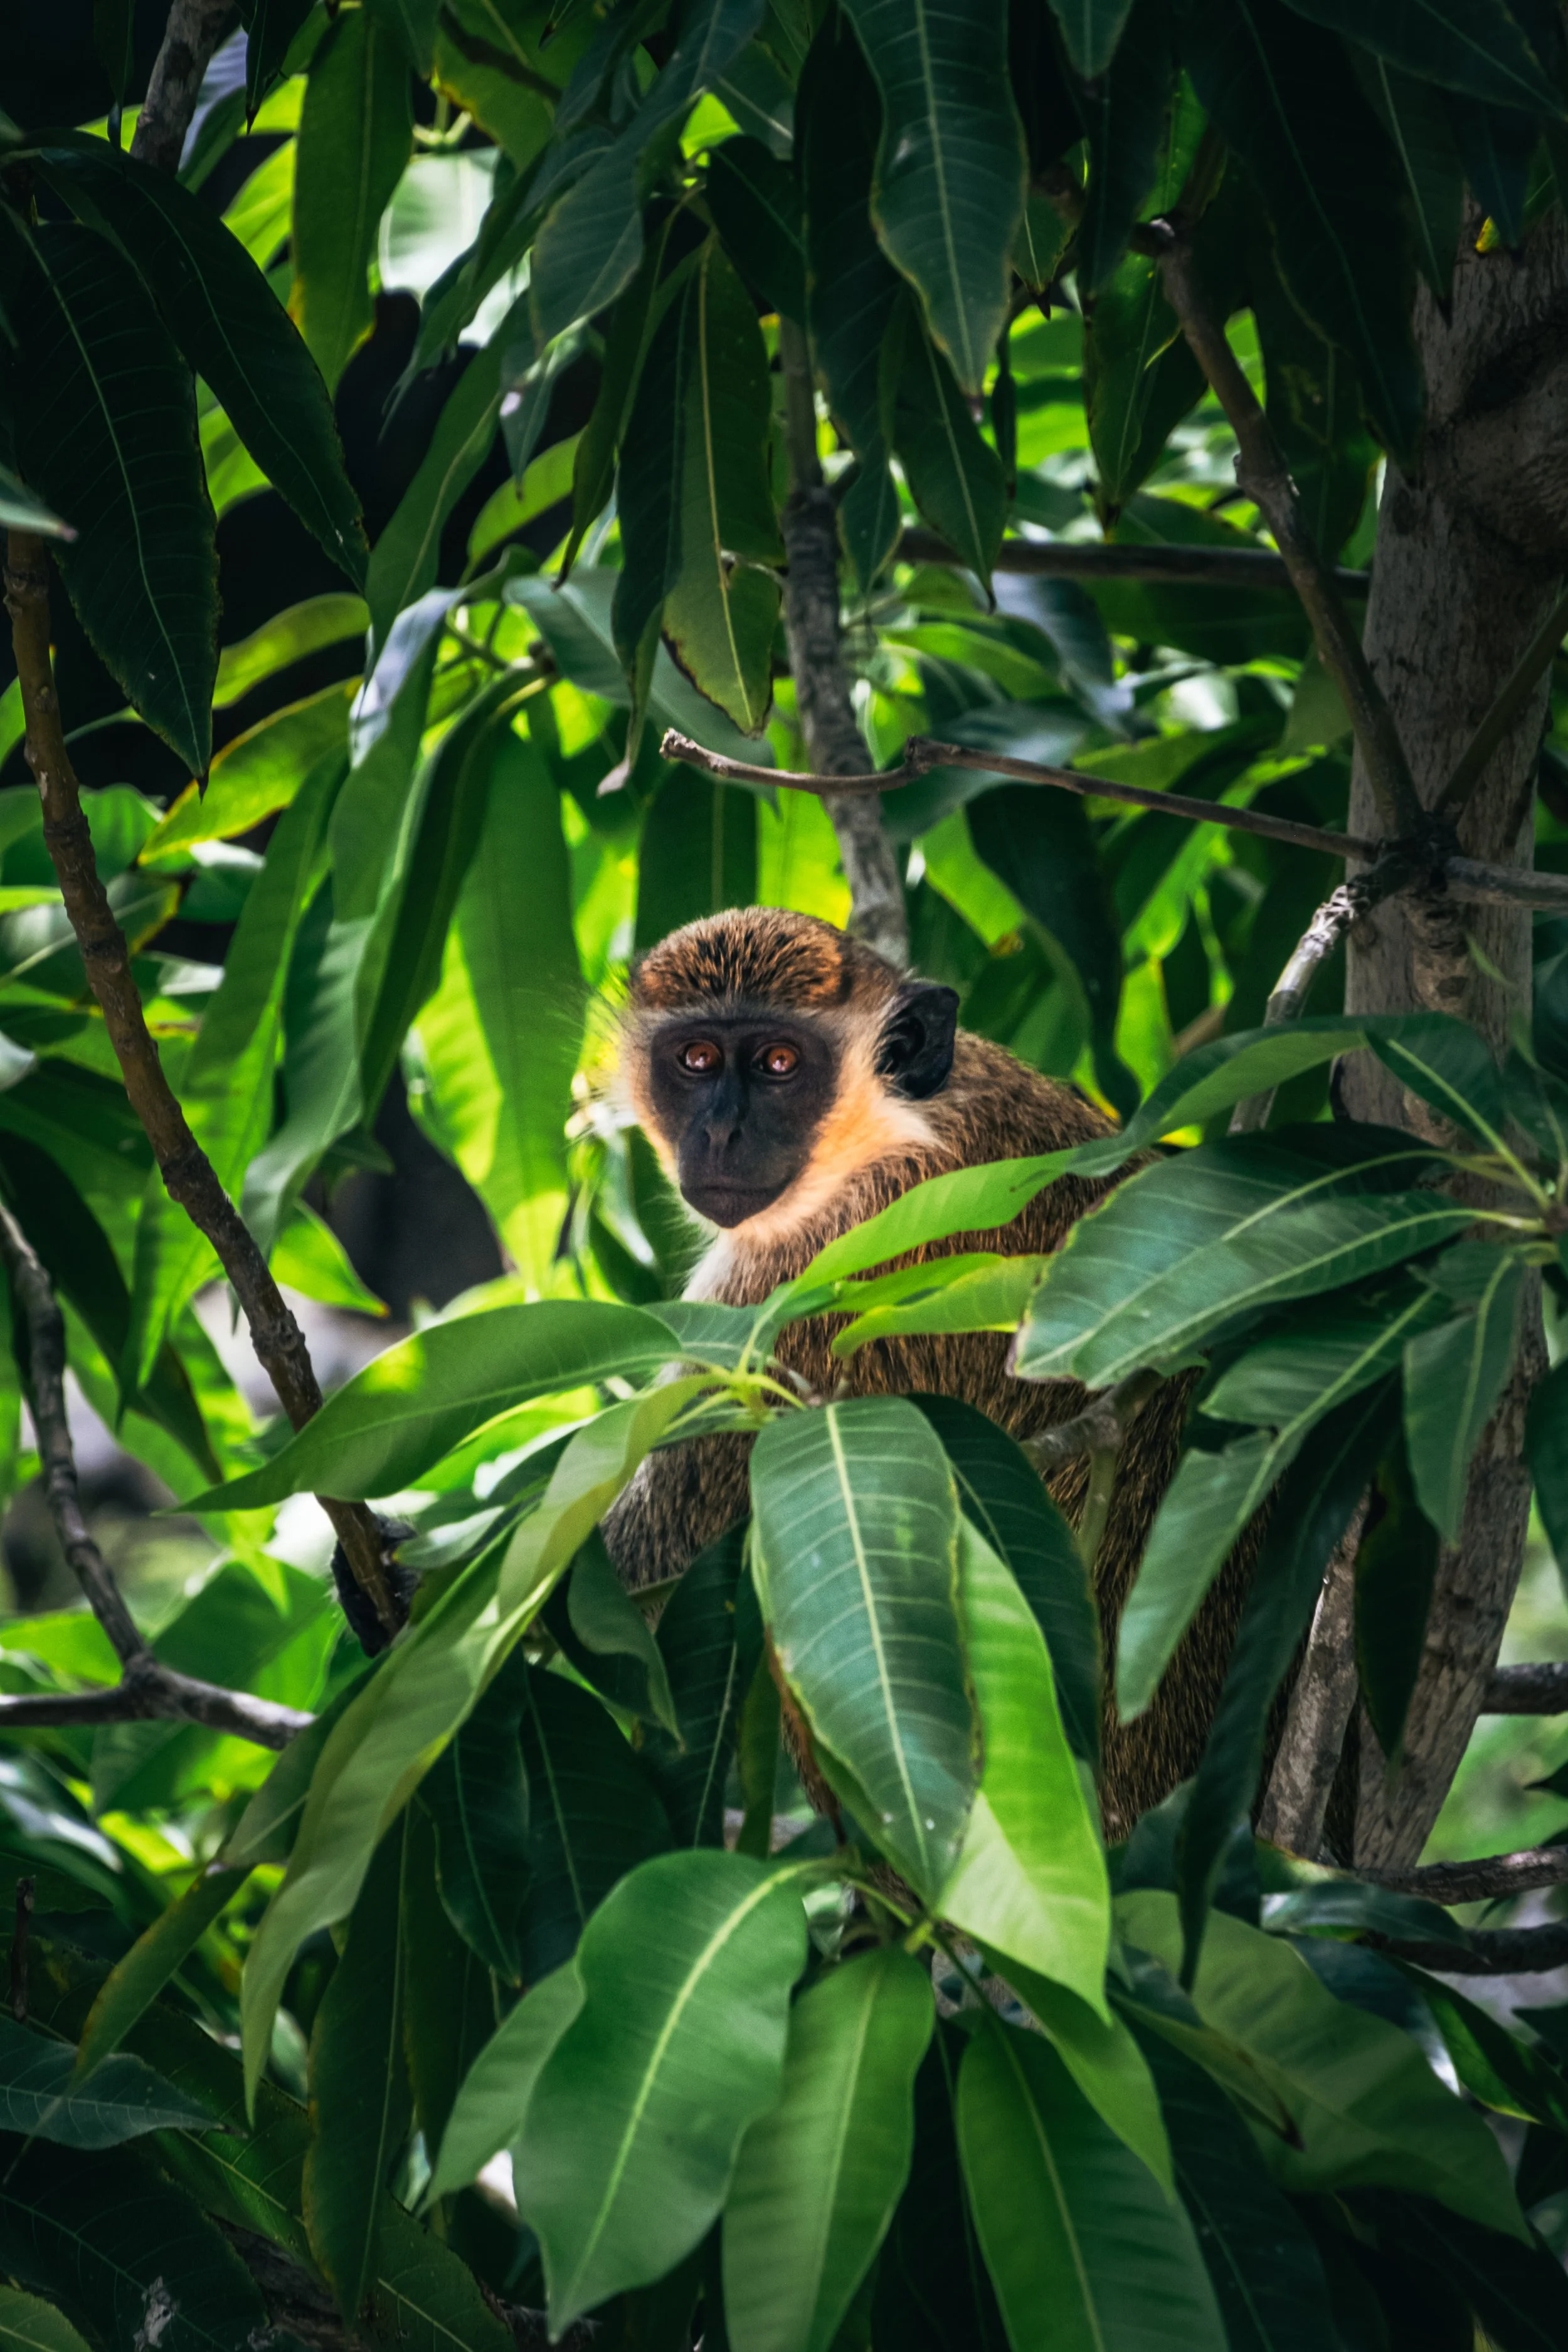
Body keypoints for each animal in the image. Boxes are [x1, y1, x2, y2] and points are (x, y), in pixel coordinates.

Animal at [601, 906, 1249, 1839]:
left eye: (779, 1063)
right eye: (694, 1060)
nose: (719, 1133)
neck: (900, 1124)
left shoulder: (809, 1280)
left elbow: (636, 1567)